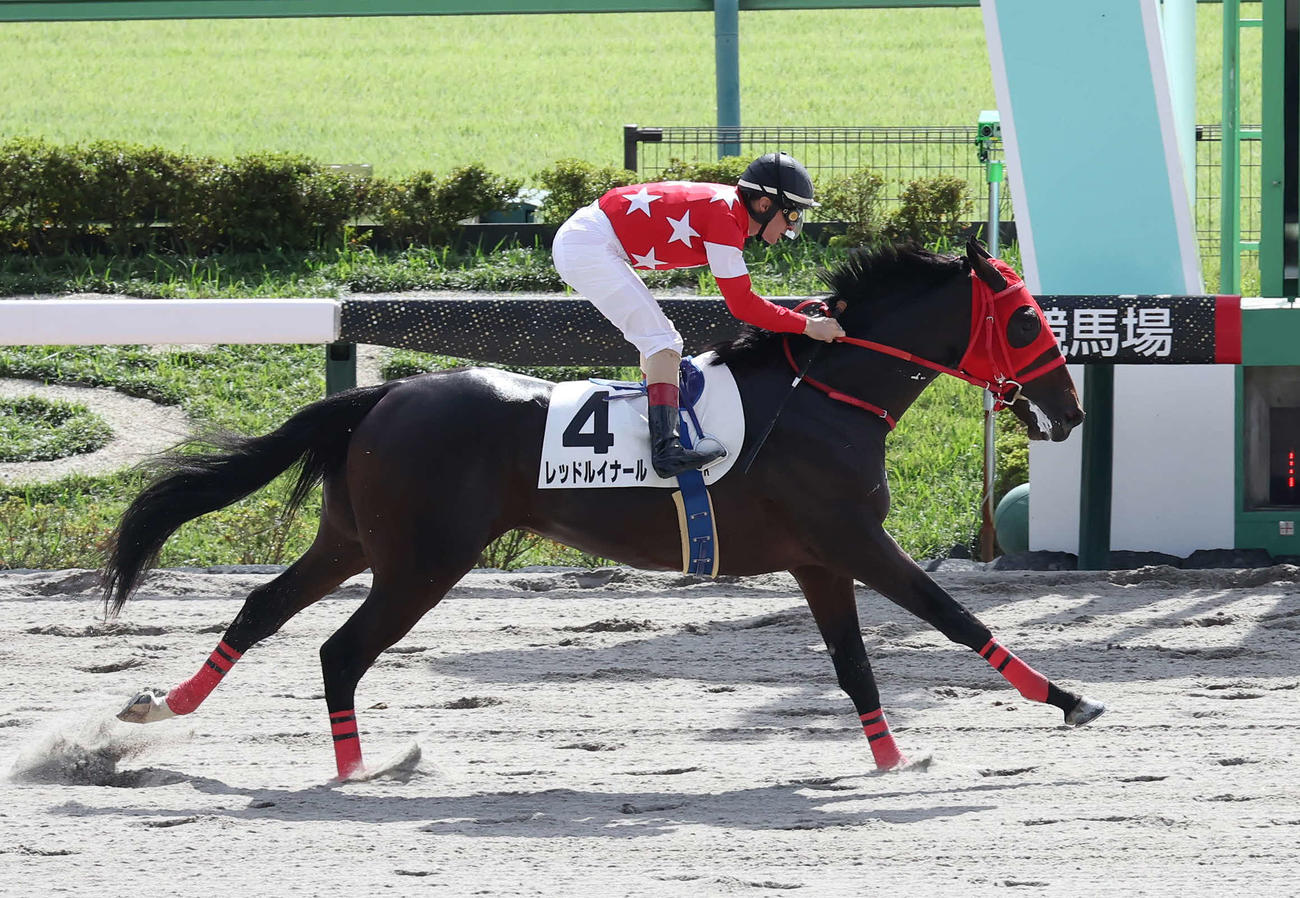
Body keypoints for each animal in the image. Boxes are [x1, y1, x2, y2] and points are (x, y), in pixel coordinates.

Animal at [104, 238, 1103, 780]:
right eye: (1025, 321)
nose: (1070, 410)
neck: (826, 397)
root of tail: (382, 396)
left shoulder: (819, 559)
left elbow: (854, 666)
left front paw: (894, 760)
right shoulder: (853, 539)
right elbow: (954, 616)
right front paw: (1069, 699)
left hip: (355, 543)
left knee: (262, 608)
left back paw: (159, 709)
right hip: (424, 562)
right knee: (339, 650)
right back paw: (360, 769)